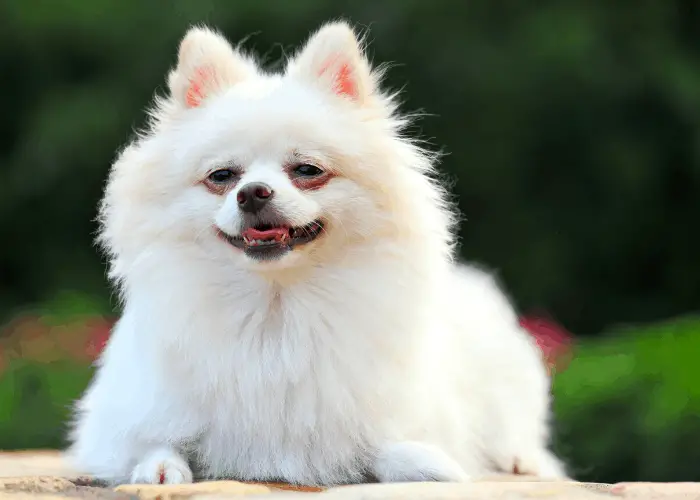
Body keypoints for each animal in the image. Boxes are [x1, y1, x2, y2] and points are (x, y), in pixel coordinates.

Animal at [65, 21, 568, 486]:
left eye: (307, 170)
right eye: (222, 176)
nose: (253, 193)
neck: (275, 308)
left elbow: (386, 446)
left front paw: (424, 461)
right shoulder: (121, 418)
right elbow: (152, 441)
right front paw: (158, 467)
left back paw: (521, 459)